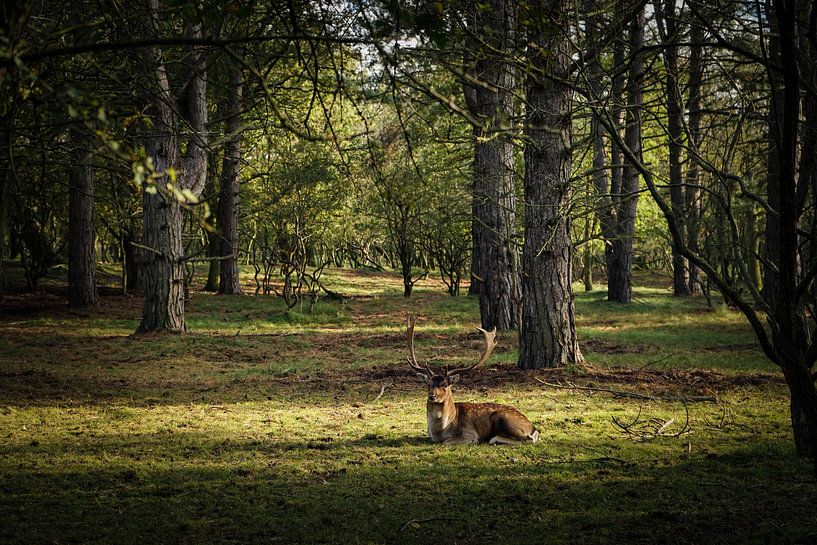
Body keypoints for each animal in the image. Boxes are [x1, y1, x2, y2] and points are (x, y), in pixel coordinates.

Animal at [404, 316, 540, 444]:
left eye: (445, 385)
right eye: (428, 384)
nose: (432, 396)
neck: (440, 431)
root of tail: (533, 429)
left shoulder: (468, 433)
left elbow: (446, 442)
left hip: (503, 418)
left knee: (527, 439)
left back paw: (494, 439)